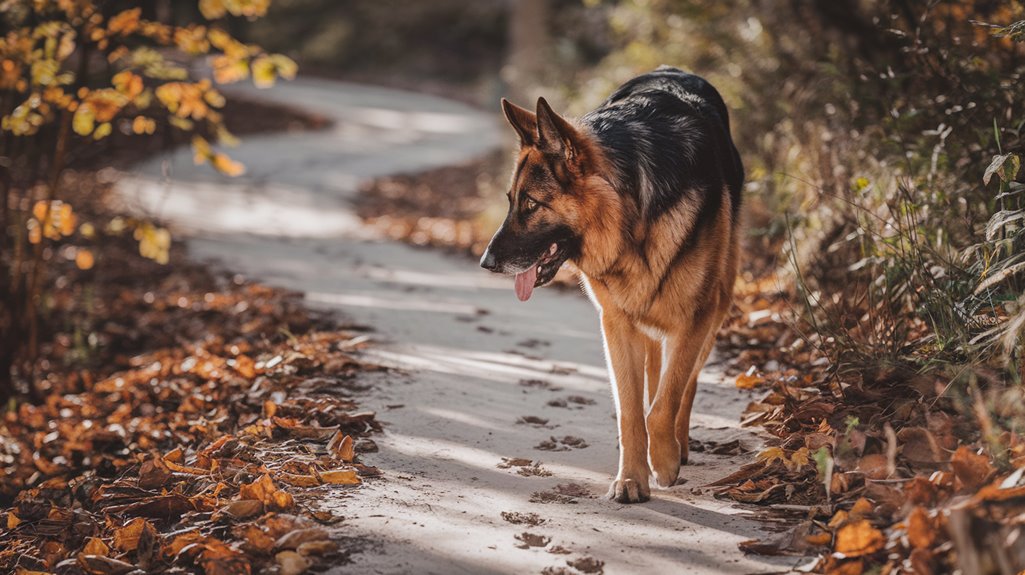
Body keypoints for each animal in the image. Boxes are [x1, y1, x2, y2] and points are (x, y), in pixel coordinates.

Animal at [479, 65, 746, 500]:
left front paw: (664, 461)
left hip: (717, 305)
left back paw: (679, 445)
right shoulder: (617, 324)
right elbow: (632, 411)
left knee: (683, 386)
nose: (485, 262)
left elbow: (666, 400)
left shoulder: (696, 317)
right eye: (510, 200)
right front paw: (632, 478)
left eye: (531, 204)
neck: (631, 221)